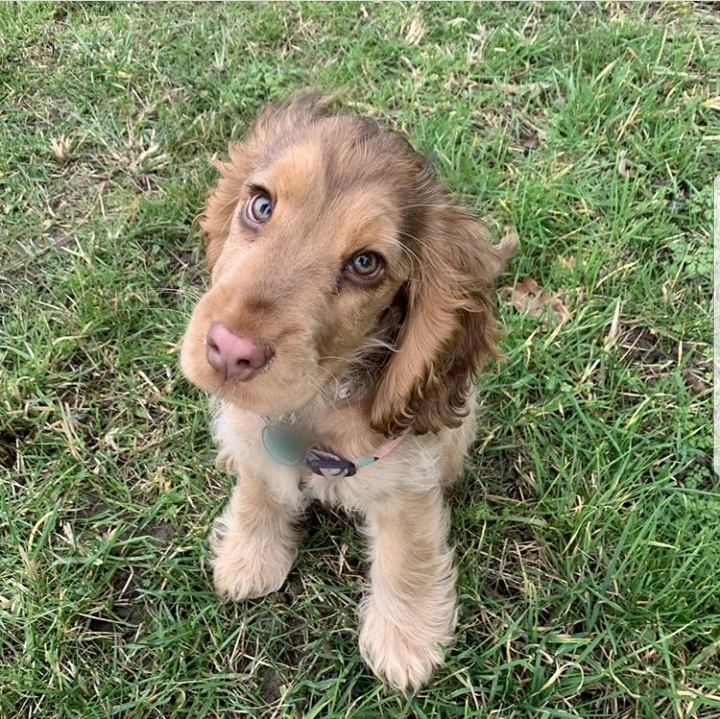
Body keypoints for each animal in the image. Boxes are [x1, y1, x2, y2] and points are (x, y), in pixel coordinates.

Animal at [181, 94, 516, 692]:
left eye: (365, 264)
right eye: (260, 206)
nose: (228, 351)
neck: (314, 408)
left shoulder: (406, 480)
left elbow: (407, 554)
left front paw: (406, 639)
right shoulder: (261, 436)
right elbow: (259, 485)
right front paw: (248, 555)